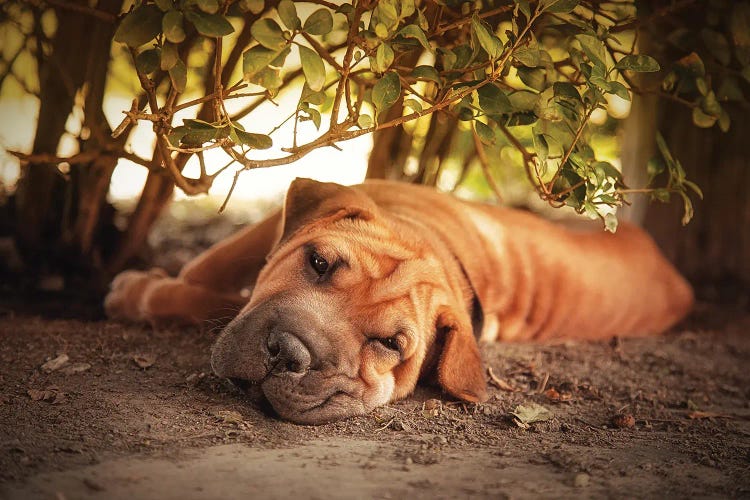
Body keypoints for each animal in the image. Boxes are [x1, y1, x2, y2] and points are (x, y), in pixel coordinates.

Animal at [104, 178, 692, 424]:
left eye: (390, 343)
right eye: (318, 263)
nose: (288, 353)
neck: (433, 243)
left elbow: (205, 294)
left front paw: (139, 292)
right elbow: (211, 267)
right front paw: (144, 288)